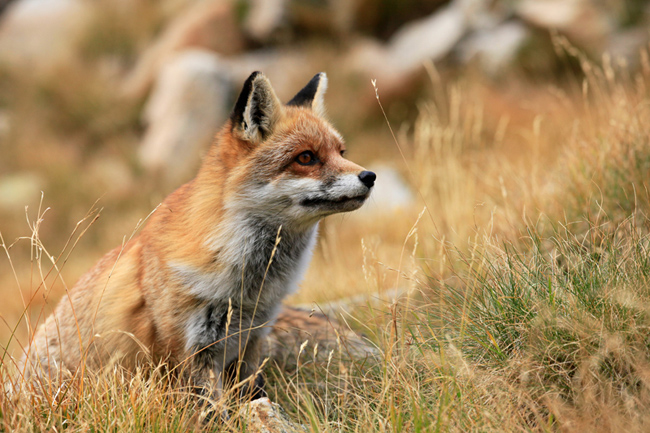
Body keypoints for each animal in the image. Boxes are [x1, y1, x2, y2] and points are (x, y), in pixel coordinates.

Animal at [21, 71, 375, 408]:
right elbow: (213, 412)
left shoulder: (252, 339)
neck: (249, 286)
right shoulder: (190, 351)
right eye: (306, 158)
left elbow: (250, 393)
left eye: (341, 152)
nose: (369, 176)